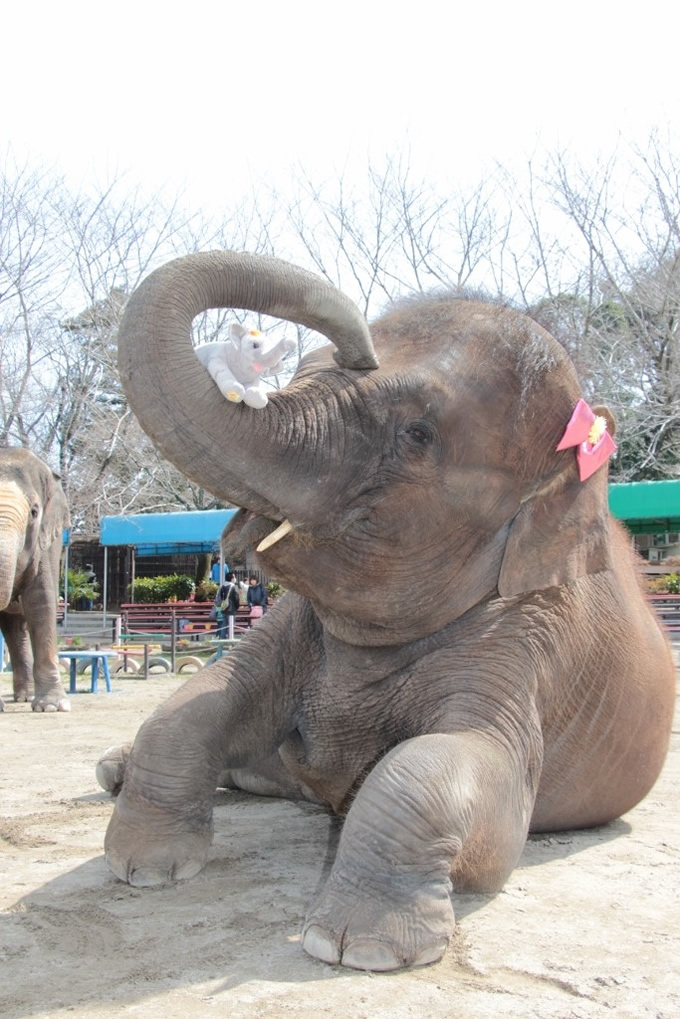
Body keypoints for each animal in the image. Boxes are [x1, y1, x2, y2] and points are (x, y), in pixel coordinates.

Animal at [0, 450, 71, 713]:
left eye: (34, 512)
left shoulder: (48, 539)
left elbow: (42, 602)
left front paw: (52, 707)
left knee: (17, 628)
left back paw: (27, 697)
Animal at [98, 248, 676, 970]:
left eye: (418, 432)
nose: (353, 341)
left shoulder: (529, 638)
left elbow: (453, 770)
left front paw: (356, 948)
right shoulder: (291, 623)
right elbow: (201, 699)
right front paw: (142, 870)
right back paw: (112, 769)